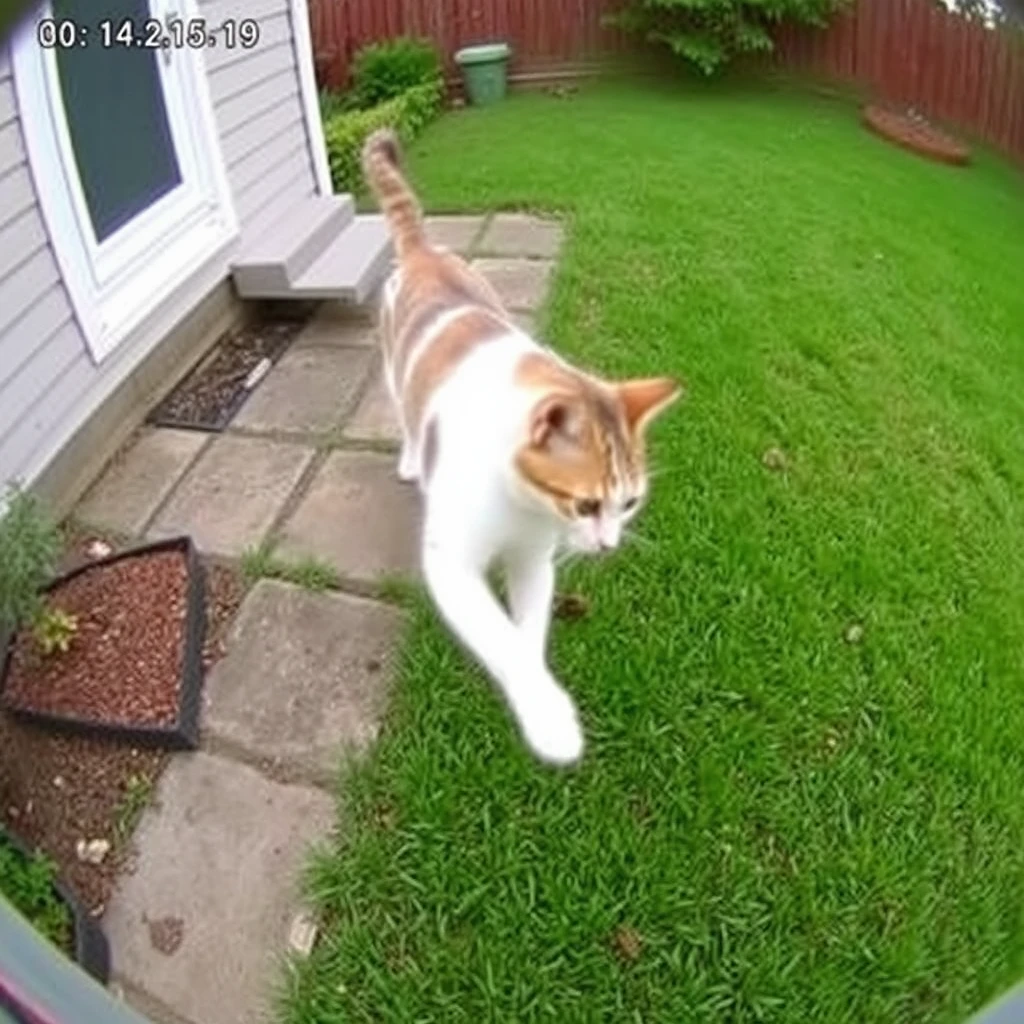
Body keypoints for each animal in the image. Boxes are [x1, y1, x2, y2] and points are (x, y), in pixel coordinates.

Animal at [360, 128, 679, 770]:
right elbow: (500, 637)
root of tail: (423, 250)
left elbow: (526, 636)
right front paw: (551, 723)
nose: (608, 547)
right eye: (586, 504)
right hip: (391, 370)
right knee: (402, 414)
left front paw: (536, 694)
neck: (522, 502)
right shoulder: (451, 562)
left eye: (630, 503)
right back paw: (409, 459)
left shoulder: (535, 558)